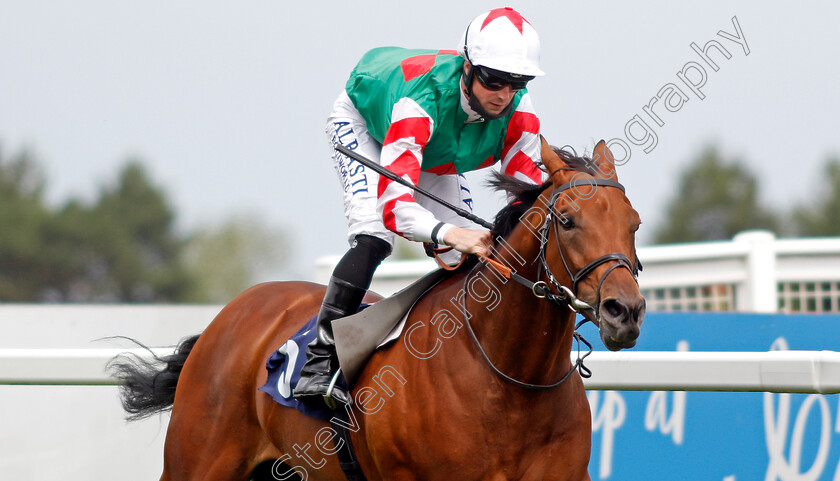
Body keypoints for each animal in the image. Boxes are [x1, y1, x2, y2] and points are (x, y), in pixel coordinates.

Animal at [111, 137, 644, 478]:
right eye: (568, 221)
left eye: (634, 222)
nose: (626, 311)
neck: (510, 383)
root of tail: (230, 313)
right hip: (197, 462)